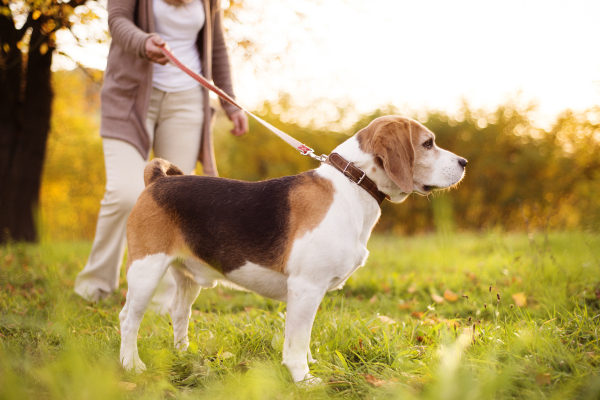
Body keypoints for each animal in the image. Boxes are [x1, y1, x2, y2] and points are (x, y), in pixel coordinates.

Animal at [119, 115, 468, 382]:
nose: (465, 161)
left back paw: (184, 354)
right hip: (146, 271)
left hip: (187, 277)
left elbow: (304, 336)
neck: (352, 184)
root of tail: (158, 180)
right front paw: (304, 379)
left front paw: (309, 365)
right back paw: (130, 365)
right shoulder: (306, 287)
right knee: (128, 318)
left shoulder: (310, 294)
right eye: (427, 144)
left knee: (179, 312)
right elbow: (297, 342)